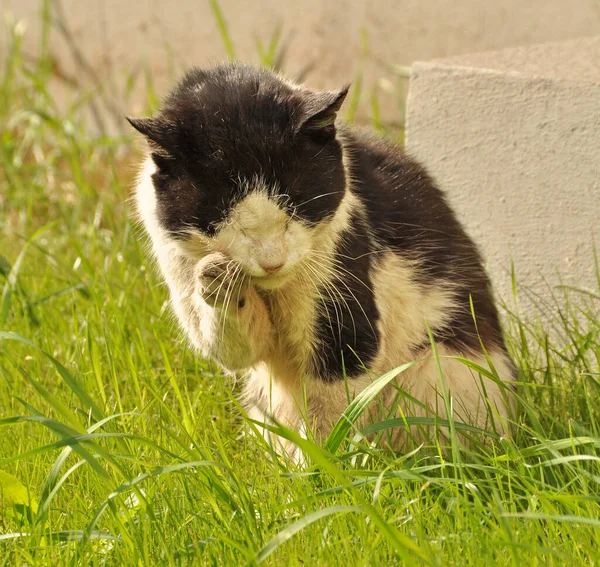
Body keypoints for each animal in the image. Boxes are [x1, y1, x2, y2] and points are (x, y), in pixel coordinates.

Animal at [131, 64, 516, 460]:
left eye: (297, 207)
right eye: (224, 218)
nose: (272, 262)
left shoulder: (342, 317)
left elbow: (333, 412)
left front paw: (322, 468)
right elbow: (234, 348)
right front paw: (219, 278)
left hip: (441, 370)